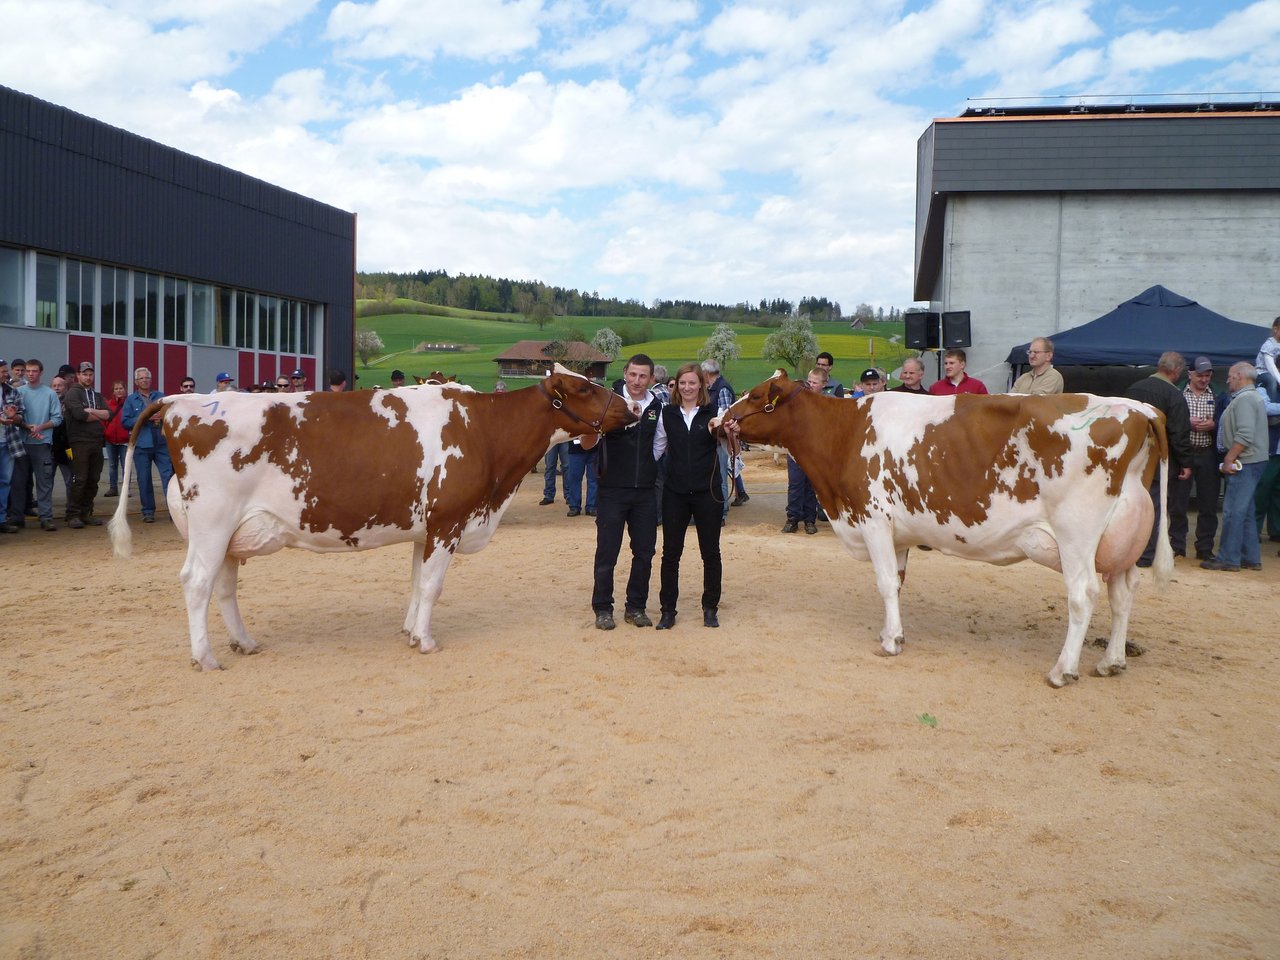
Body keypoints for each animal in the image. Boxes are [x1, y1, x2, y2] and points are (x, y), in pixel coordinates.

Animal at [110, 363, 634, 670]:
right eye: (584, 387)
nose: (632, 407)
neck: (485, 431)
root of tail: (179, 401)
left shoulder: (426, 529)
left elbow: (416, 582)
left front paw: (409, 631)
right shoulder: (449, 521)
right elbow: (433, 586)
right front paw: (425, 641)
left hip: (231, 533)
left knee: (223, 587)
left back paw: (245, 642)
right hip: (212, 522)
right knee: (196, 583)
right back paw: (206, 657)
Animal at [721, 371, 1172, 686]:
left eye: (757, 396)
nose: (718, 420)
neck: (844, 434)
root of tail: (1138, 408)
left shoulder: (874, 520)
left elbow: (885, 582)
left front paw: (890, 642)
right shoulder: (898, 532)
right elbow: (898, 581)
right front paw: (893, 632)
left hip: (1076, 534)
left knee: (1083, 596)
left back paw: (1063, 670)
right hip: (1121, 541)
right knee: (1122, 594)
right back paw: (1111, 661)